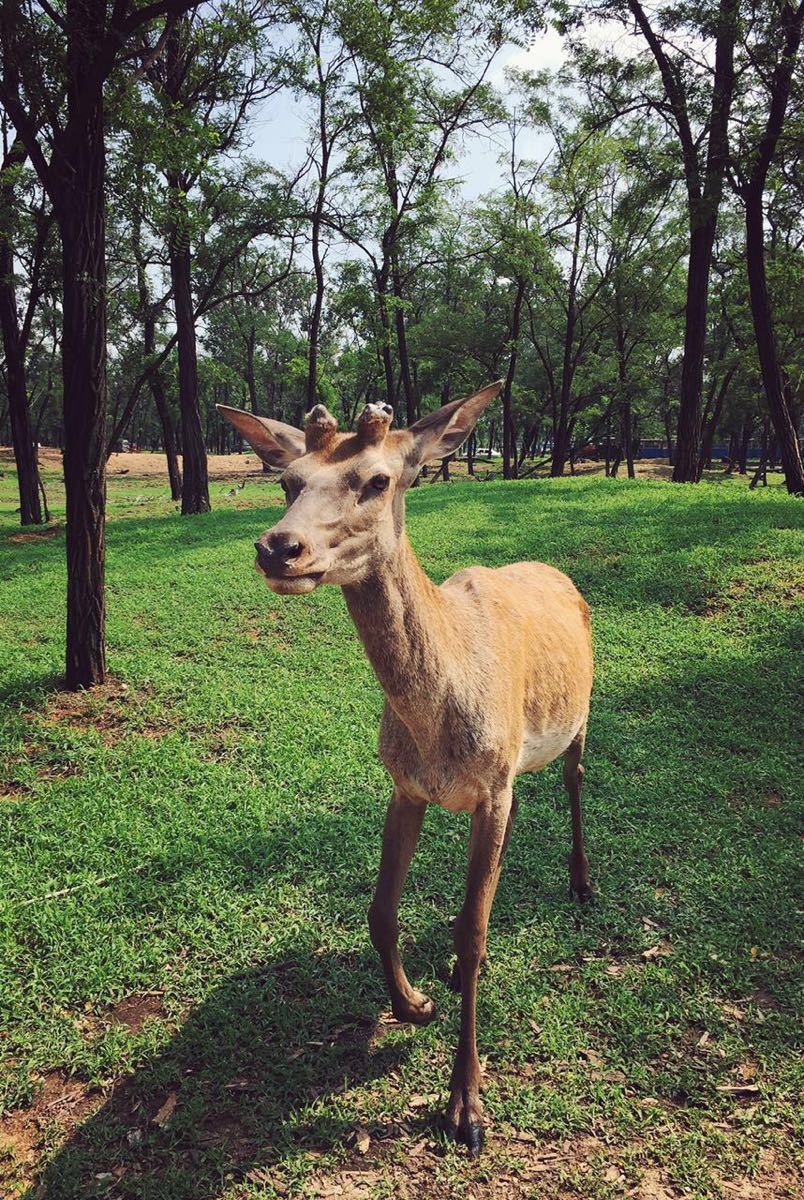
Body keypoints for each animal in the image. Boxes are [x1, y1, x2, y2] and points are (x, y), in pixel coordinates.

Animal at [217, 384, 595, 1152]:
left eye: (377, 480)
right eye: (288, 481)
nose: (278, 547)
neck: (439, 725)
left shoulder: (492, 785)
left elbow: (472, 931)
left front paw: (465, 1106)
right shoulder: (405, 786)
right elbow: (381, 910)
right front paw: (414, 1003)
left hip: (581, 713)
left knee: (574, 780)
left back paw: (581, 882)